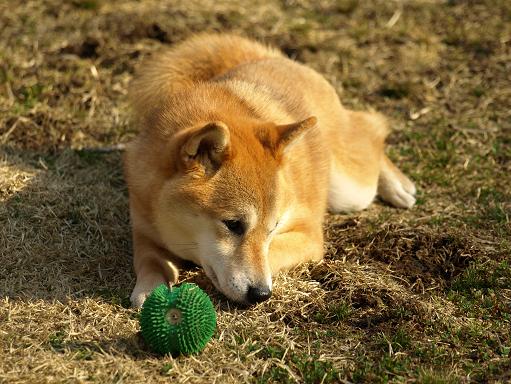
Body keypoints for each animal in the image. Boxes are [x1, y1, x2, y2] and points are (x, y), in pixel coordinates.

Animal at [124, 33, 416, 308]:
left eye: (272, 228)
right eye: (233, 225)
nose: (261, 294)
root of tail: (271, 58)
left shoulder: (308, 235)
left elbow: (273, 251)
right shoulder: (144, 228)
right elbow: (148, 260)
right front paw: (150, 288)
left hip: (350, 191)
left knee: (371, 126)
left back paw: (398, 184)